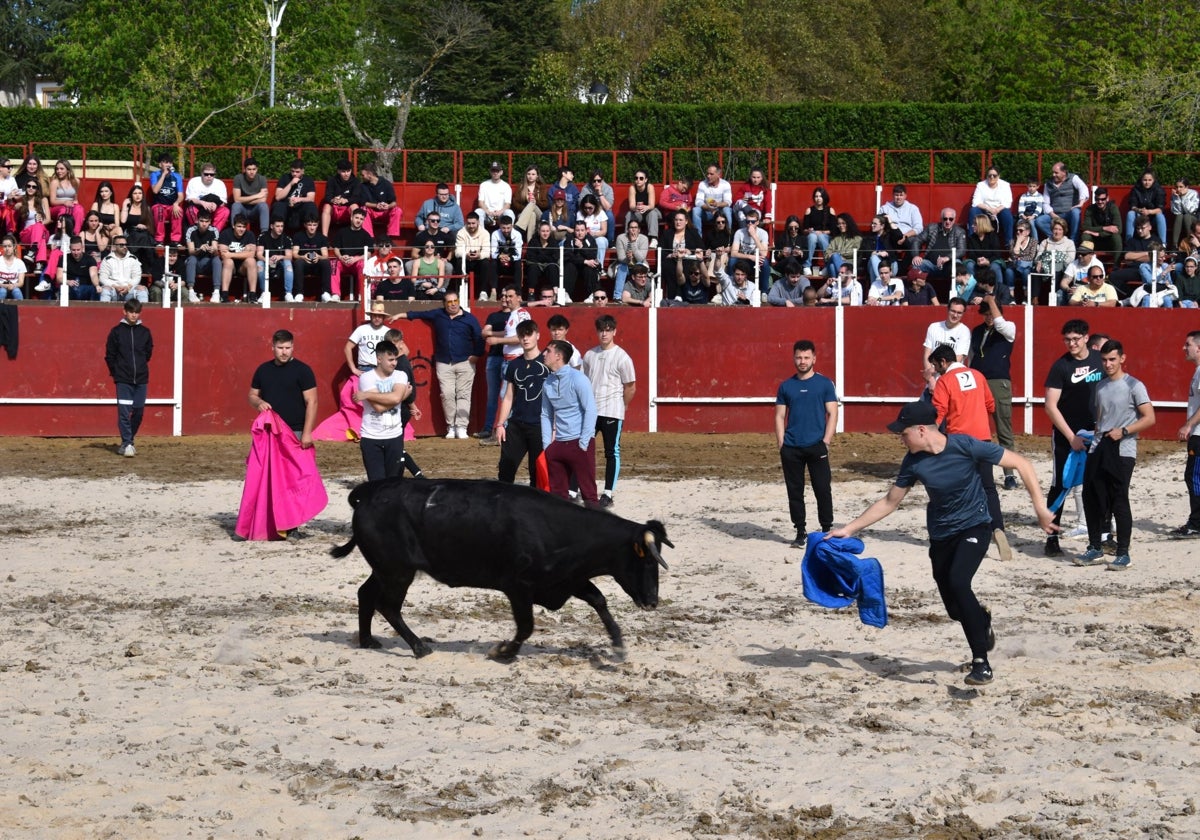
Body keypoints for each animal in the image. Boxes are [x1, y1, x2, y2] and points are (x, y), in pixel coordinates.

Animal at [328, 482, 672, 657]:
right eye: (645, 560)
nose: (653, 601)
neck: (559, 529)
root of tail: (367, 495)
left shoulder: (566, 579)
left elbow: (598, 599)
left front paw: (618, 643)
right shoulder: (519, 587)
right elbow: (526, 626)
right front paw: (503, 651)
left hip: (385, 569)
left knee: (366, 593)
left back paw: (367, 641)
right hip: (398, 572)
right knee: (388, 605)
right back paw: (420, 647)